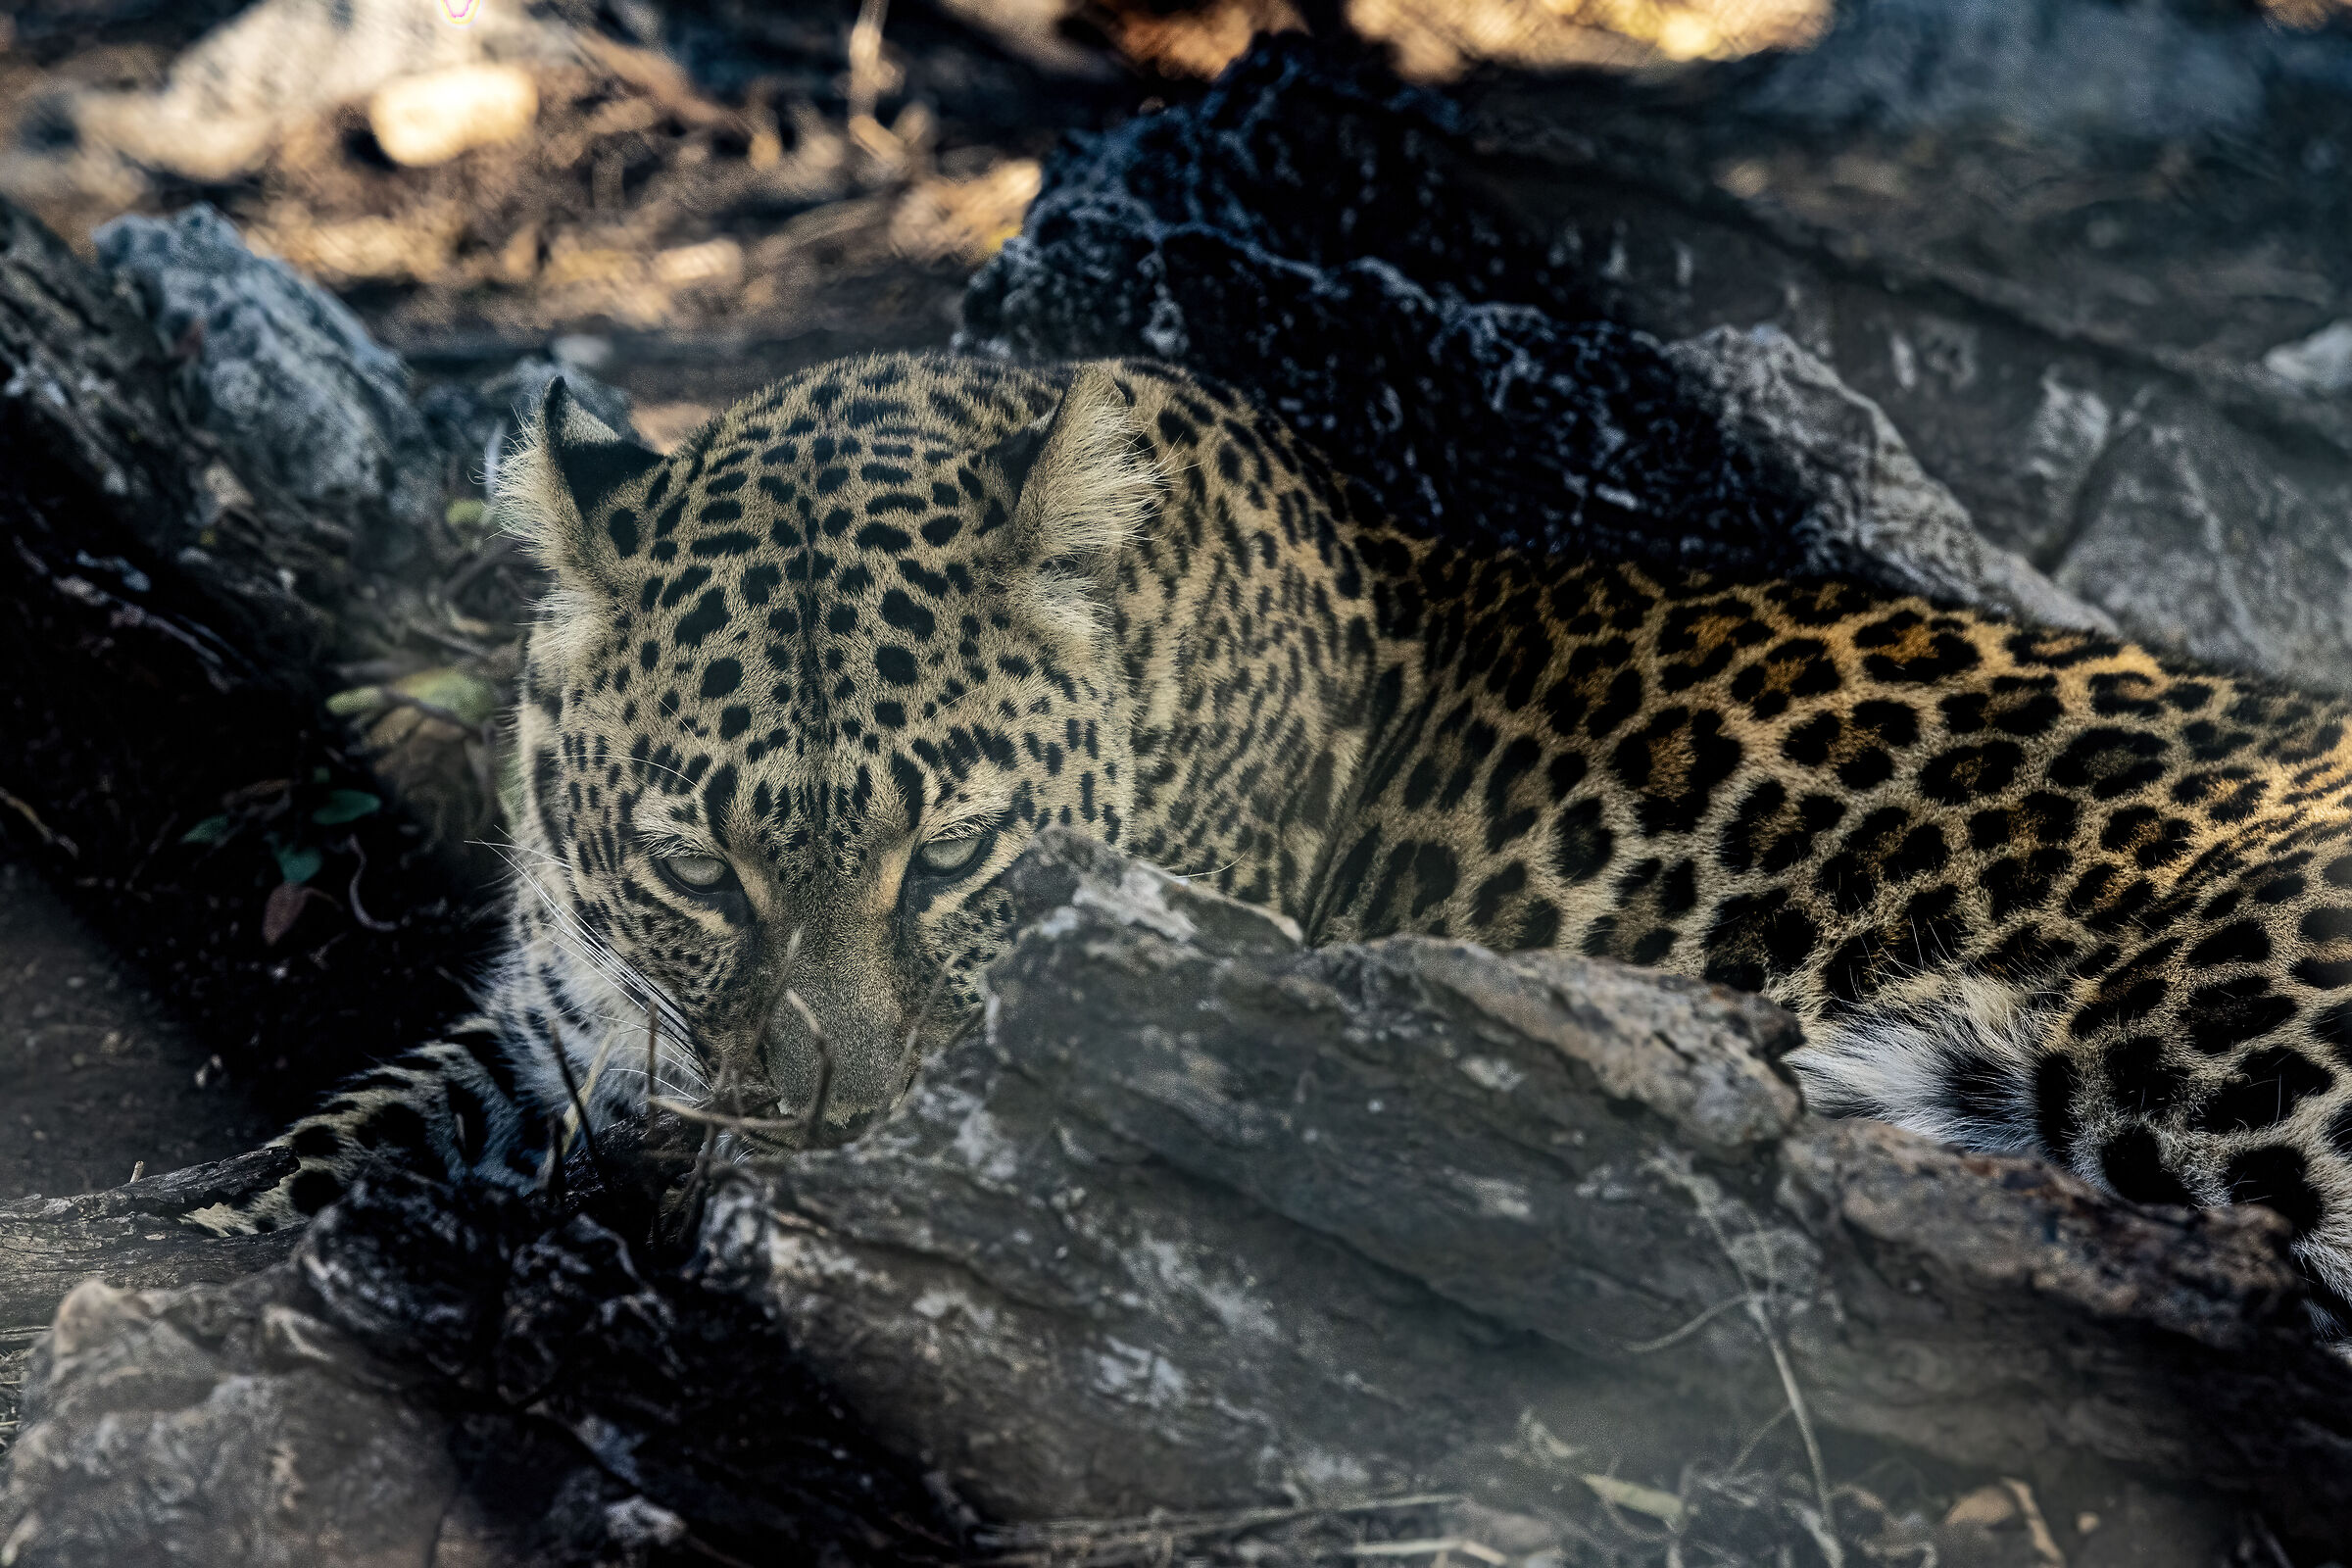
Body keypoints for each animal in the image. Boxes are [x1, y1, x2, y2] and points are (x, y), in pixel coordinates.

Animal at [211, 349, 2352, 1320]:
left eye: (957, 853)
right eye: (694, 866)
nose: (830, 1116)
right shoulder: (564, 1015)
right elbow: (359, 1116)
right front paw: (226, 1217)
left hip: (2187, 1051)